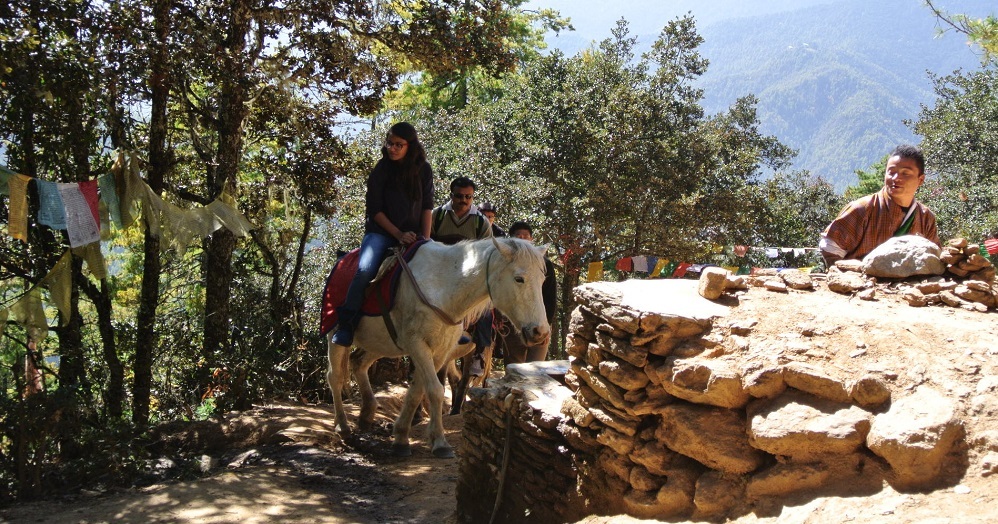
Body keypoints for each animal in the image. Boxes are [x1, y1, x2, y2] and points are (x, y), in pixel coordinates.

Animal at [328, 237, 552, 458]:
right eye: (519, 279)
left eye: (542, 280)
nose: (540, 331)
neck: (444, 288)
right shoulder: (418, 344)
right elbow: (436, 389)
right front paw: (440, 442)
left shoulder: (440, 351)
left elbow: (419, 390)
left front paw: (401, 436)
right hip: (334, 334)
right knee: (335, 377)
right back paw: (342, 426)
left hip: (379, 343)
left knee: (358, 363)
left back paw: (366, 414)